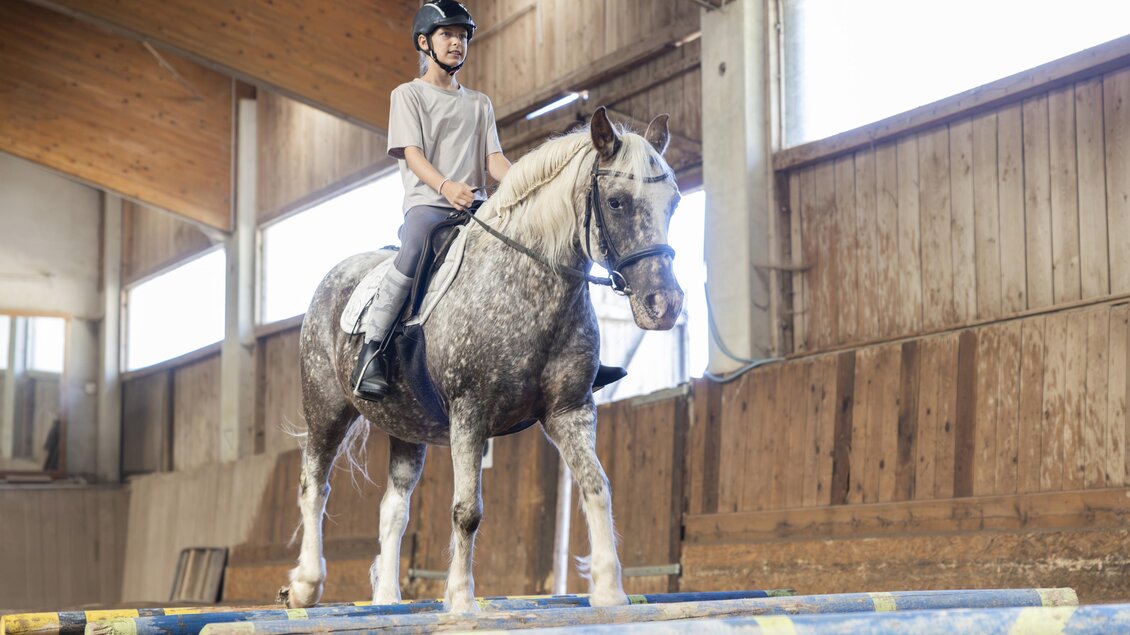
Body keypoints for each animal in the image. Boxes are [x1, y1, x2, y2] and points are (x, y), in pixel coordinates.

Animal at [279, 107, 684, 612]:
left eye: (674, 203)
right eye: (616, 203)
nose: (664, 305)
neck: (530, 286)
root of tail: (336, 276)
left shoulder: (569, 411)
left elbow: (597, 486)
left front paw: (610, 591)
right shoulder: (470, 414)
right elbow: (467, 510)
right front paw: (460, 600)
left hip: (406, 427)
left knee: (393, 508)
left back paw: (388, 598)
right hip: (327, 407)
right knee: (314, 484)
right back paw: (305, 584)